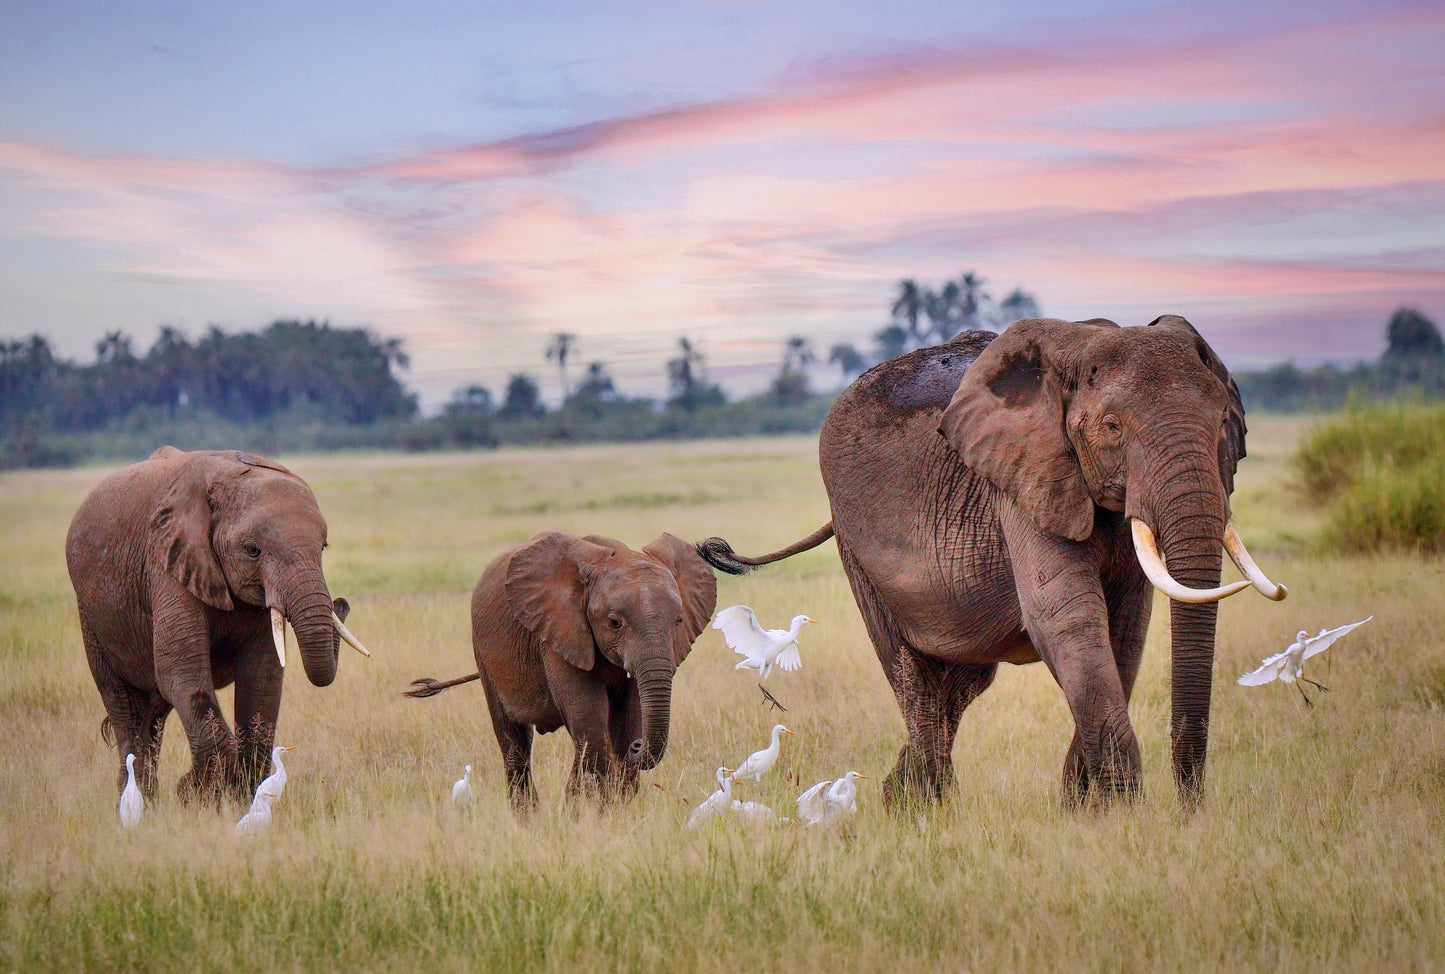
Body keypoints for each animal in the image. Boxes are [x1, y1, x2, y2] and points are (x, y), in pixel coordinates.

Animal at [67, 445, 372, 803]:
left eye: (322, 547)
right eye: (252, 550)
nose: (341, 603)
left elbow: (262, 676)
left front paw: (238, 796)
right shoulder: (169, 563)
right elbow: (181, 671)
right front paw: (198, 795)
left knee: (154, 710)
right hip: (91, 615)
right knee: (124, 704)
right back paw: (136, 801)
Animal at [699, 315, 1288, 809]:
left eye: (1223, 423)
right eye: (1112, 427)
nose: (1190, 809)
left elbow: (1125, 632)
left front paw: (1087, 809)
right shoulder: (1024, 482)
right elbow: (1066, 621)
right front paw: (1120, 811)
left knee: (959, 685)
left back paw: (899, 798)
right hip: (855, 544)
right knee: (913, 676)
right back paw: (927, 810)